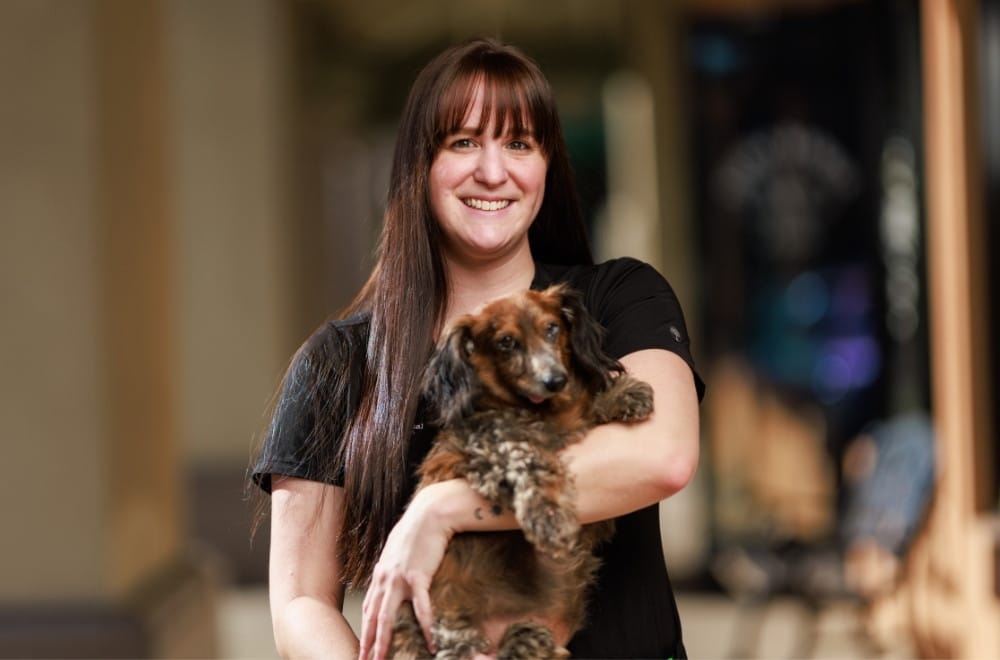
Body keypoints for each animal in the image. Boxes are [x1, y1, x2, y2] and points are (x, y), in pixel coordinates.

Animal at [390, 284, 656, 660]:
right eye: (506, 342)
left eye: (552, 328)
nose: (554, 380)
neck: (543, 412)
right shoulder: (483, 453)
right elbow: (531, 458)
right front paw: (548, 517)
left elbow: (588, 412)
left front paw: (623, 393)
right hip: (446, 634)